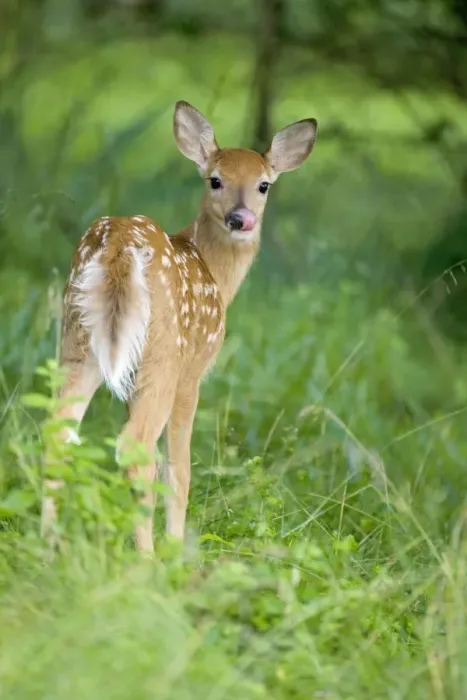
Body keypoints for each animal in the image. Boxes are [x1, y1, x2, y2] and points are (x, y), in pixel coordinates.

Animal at [41, 100, 318, 554]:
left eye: (263, 185)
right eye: (215, 180)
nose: (240, 219)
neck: (215, 275)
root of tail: (117, 249)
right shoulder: (194, 368)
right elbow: (178, 467)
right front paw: (175, 547)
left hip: (77, 340)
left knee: (59, 430)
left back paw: (47, 546)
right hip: (164, 351)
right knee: (134, 444)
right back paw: (148, 559)